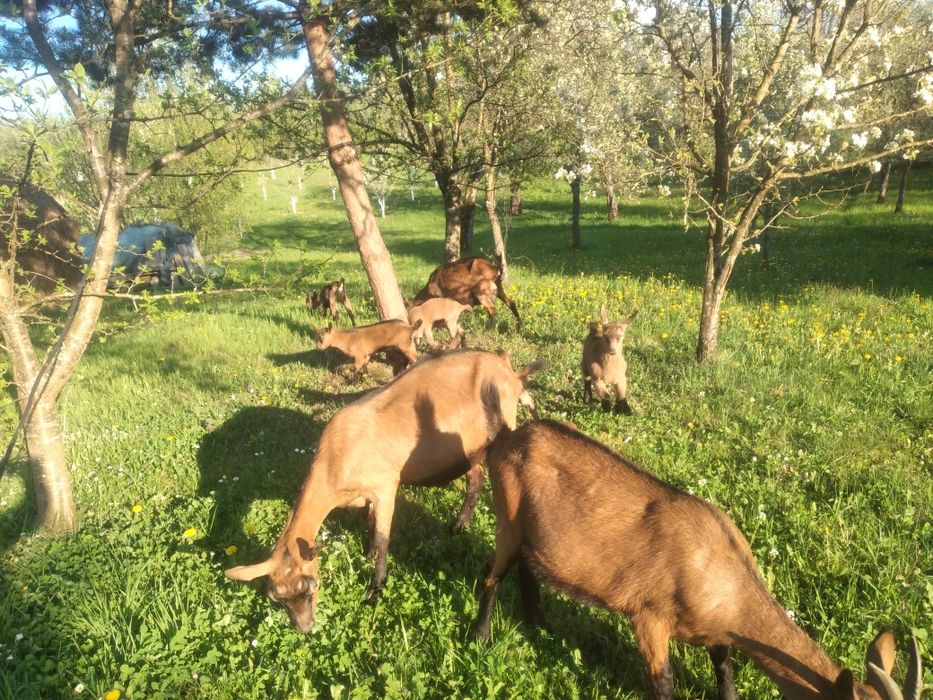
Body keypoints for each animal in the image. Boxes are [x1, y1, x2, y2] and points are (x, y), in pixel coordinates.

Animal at [226, 350, 543, 632]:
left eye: (310, 587)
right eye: (278, 599)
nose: (305, 628)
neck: (336, 459)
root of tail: (510, 372)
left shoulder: (386, 487)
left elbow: (382, 538)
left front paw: (375, 588)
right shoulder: (365, 495)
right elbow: (369, 524)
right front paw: (366, 554)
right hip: (468, 449)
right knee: (475, 477)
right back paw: (459, 524)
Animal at [473, 419, 923, 700]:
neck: (722, 571)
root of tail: (509, 436)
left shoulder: (716, 630)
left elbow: (724, 667)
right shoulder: (648, 617)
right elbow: (663, 681)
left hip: (535, 535)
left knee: (527, 571)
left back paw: (539, 624)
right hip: (508, 517)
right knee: (493, 574)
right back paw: (480, 637)